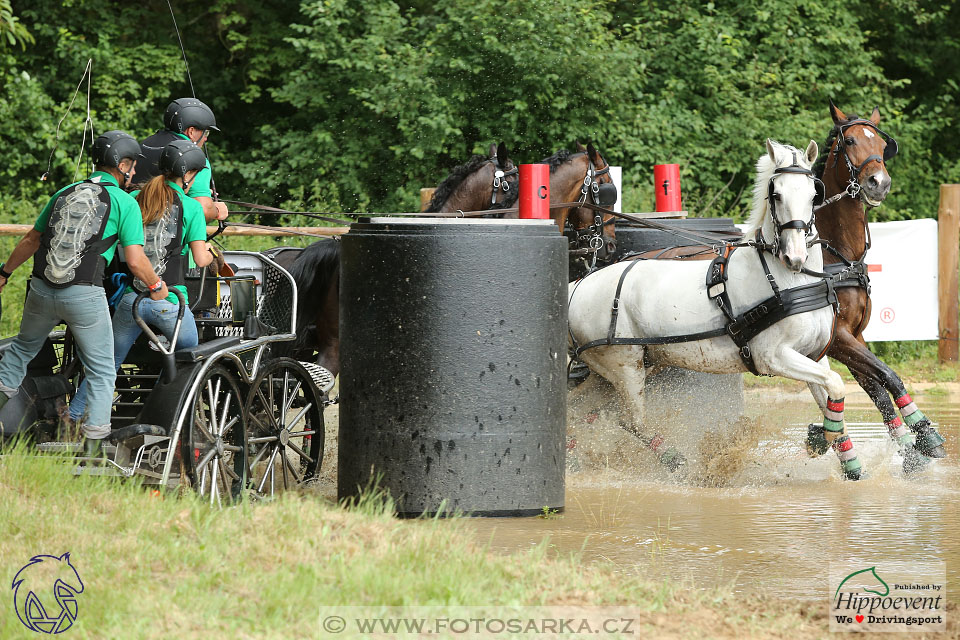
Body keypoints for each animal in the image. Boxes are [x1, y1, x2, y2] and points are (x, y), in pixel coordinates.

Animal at [568, 140, 868, 480]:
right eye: (776, 194)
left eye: (813, 194)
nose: (795, 257)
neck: (787, 280)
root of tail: (577, 286)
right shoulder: (773, 357)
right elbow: (836, 384)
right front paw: (822, 437)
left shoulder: (814, 356)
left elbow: (829, 394)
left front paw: (848, 461)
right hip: (624, 367)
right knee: (631, 421)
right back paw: (677, 460)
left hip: (615, 372)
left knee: (577, 410)